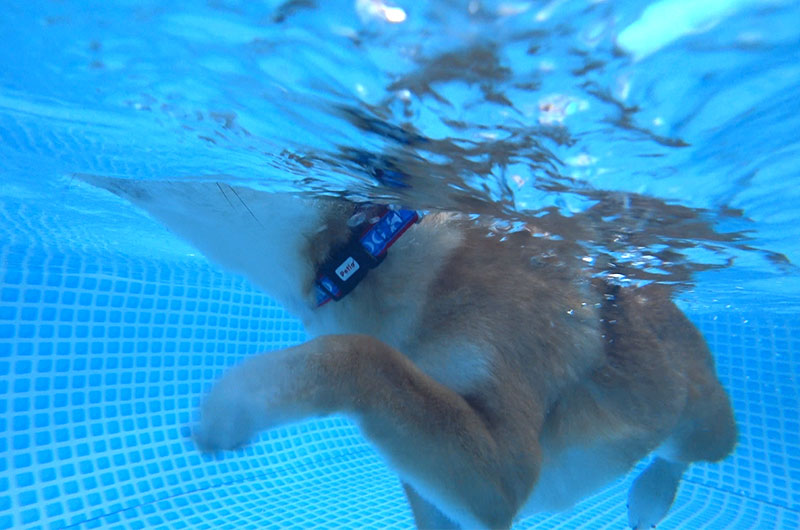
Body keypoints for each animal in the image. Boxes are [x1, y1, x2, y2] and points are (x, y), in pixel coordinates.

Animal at [83, 177, 736, 528]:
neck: (372, 251)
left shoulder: (505, 473)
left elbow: (361, 354)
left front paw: (238, 401)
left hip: (707, 426)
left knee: (686, 451)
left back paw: (653, 492)